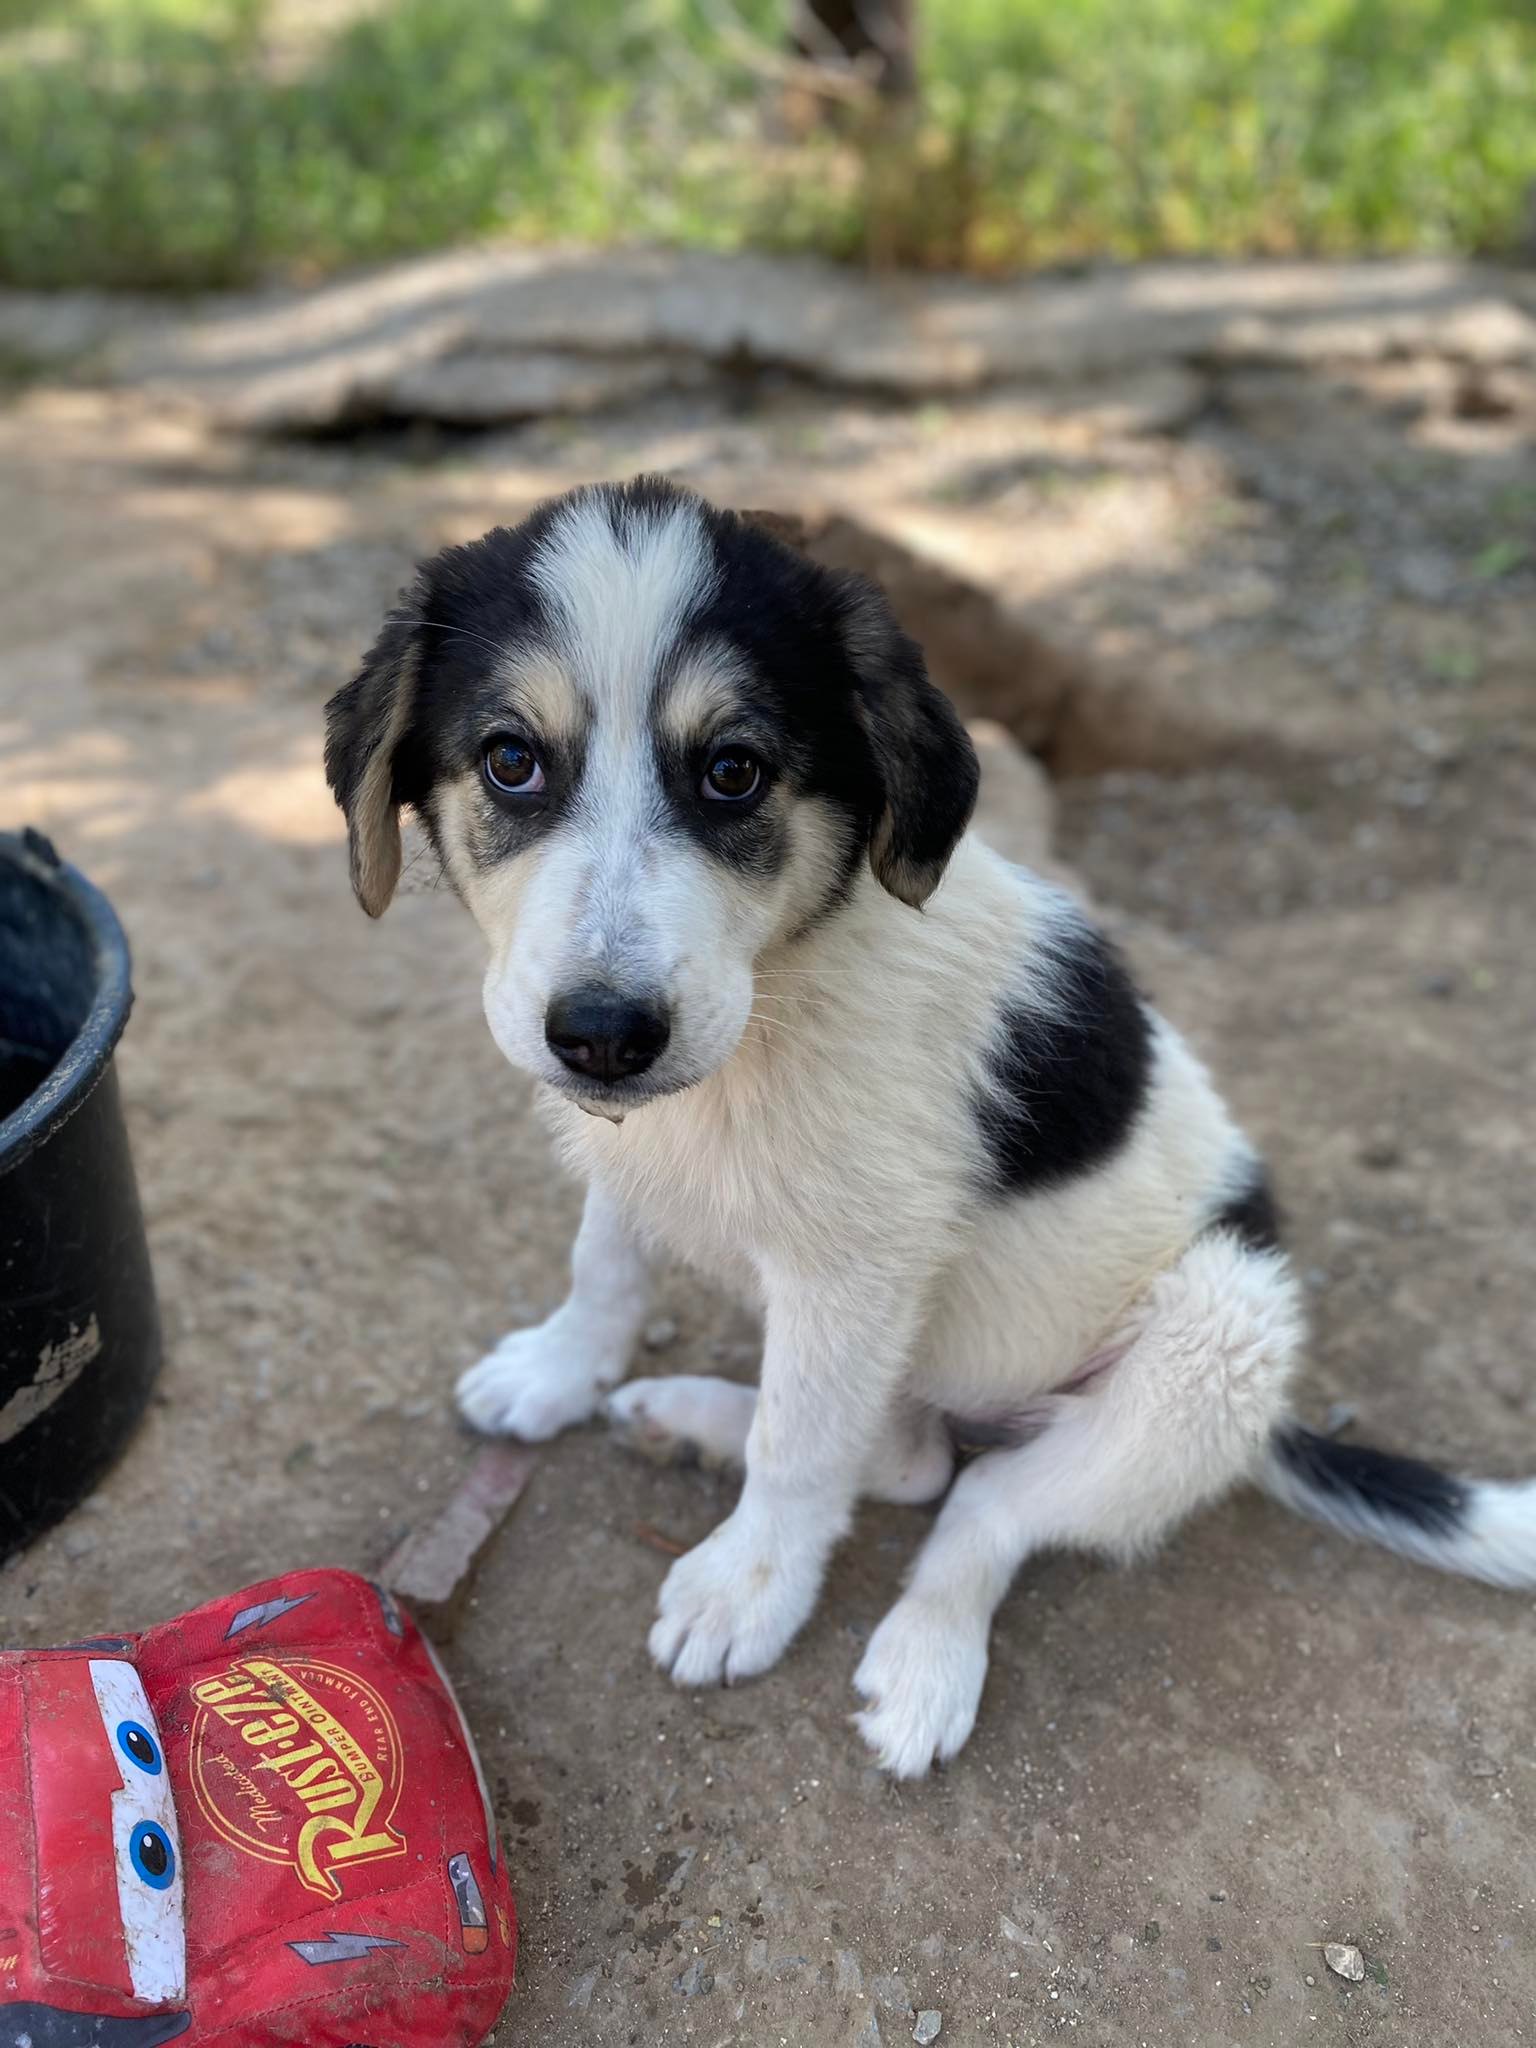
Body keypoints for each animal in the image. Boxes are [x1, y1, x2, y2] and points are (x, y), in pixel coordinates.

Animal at [327, 471, 1536, 1769]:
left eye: (734, 771)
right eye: (510, 760)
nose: (602, 1032)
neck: (774, 999)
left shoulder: (854, 1268)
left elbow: (802, 1448)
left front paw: (749, 1587)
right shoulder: (637, 1153)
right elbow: (605, 1264)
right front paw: (559, 1371)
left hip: (1214, 1341)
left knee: (975, 1501)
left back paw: (922, 1658)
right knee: (905, 1457)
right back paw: (685, 1416)